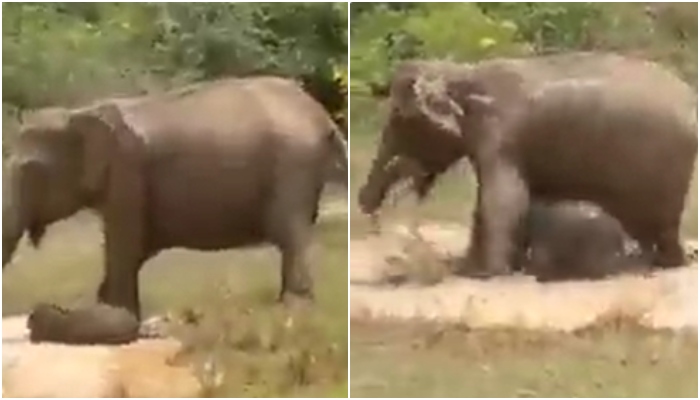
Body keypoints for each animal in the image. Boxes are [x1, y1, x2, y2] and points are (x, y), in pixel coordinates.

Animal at [2, 76, 348, 318]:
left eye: (31, 171)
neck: (84, 113)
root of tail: (323, 117)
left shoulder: (128, 173)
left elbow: (124, 244)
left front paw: (113, 314)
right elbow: (136, 247)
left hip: (292, 168)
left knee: (290, 233)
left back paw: (292, 309)